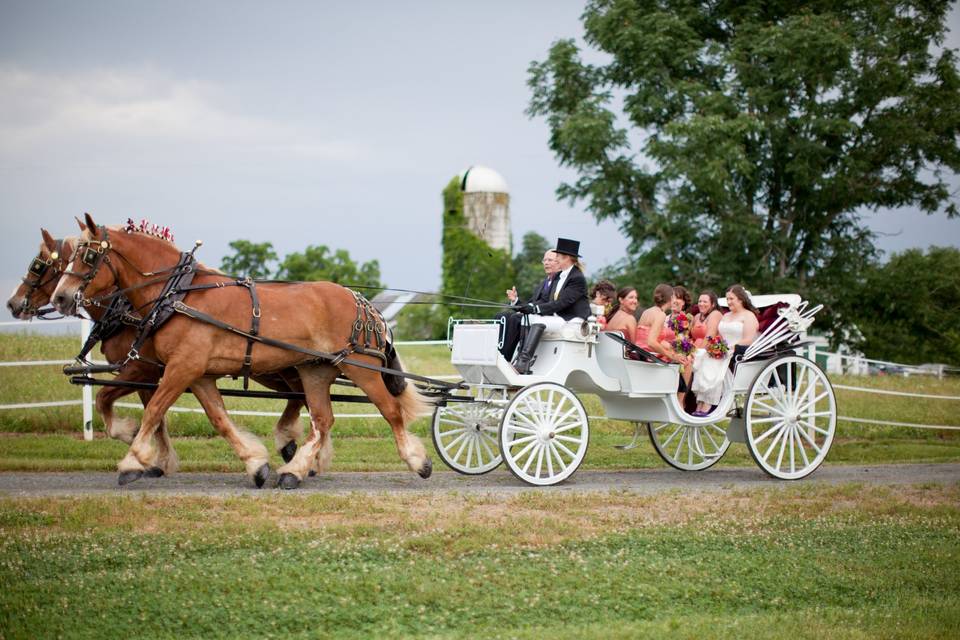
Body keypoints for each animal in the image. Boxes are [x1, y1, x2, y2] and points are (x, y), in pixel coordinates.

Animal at [7, 229, 316, 476]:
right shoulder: (154, 374)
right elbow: (154, 416)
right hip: (278, 370)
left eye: (40, 265)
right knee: (300, 398)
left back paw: (294, 449)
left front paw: (140, 450)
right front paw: (155, 459)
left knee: (302, 398)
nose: (12, 303)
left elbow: (116, 402)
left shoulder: (142, 369)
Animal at [49, 212, 432, 488]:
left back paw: (419, 461)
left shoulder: (180, 368)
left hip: (361, 366)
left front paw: (132, 460)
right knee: (322, 420)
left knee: (391, 411)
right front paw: (256, 464)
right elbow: (218, 419)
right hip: (316, 370)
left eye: (88, 255)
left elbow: (154, 410)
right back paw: (294, 470)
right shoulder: (197, 374)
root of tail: (361, 302)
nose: (61, 297)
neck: (178, 296)